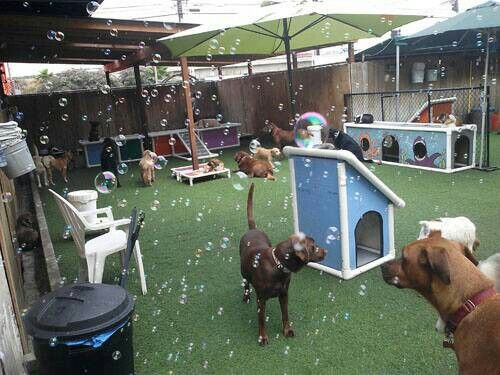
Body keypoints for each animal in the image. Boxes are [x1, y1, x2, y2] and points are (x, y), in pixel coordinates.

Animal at [239, 184, 326, 346]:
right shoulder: (261, 299)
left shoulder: (284, 294)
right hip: (243, 272)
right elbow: (262, 320)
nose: (326, 251)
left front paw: (287, 330)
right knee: (245, 282)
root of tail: (253, 229)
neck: (278, 266)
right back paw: (246, 295)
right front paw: (262, 337)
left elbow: (285, 314)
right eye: (313, 247)